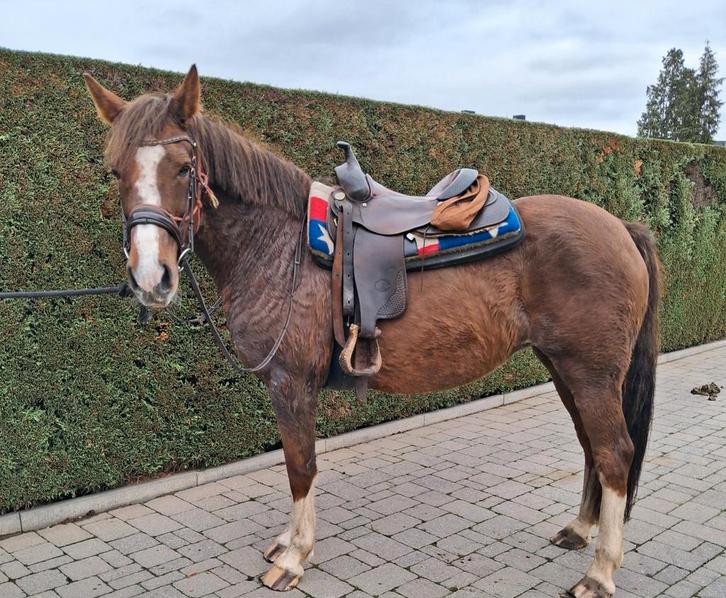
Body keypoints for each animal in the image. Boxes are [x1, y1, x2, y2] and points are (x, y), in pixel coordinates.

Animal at [83, 65, 660, 598]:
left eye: (184, 168)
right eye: (116, 172)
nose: (151, 278)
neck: (279, 246)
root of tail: (620, 227)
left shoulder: (291, 383)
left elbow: (300, 466)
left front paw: (294, 557)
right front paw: (287, 541)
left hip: (590, 372)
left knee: (615, 454)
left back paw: (600, 572)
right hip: (564, 367)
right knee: (590, 447)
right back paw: (579, 530)